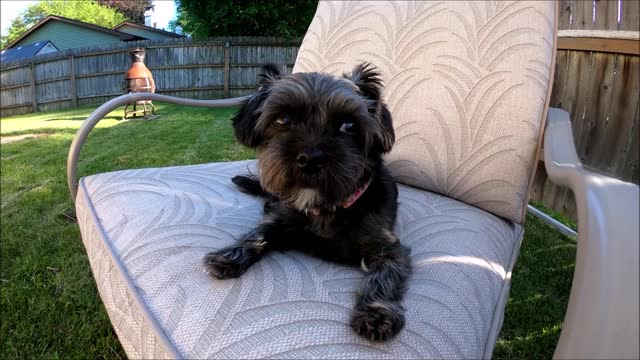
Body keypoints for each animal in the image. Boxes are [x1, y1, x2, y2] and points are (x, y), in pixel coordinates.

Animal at [206, 63, 416, 342]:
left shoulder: (388, 247)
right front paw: (229, 255)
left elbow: (384, 274)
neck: (325, 206)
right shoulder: (282, 220)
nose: (310, 158)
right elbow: (257, 233)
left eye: (349, 125)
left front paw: (376, 313)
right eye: (282, 119)